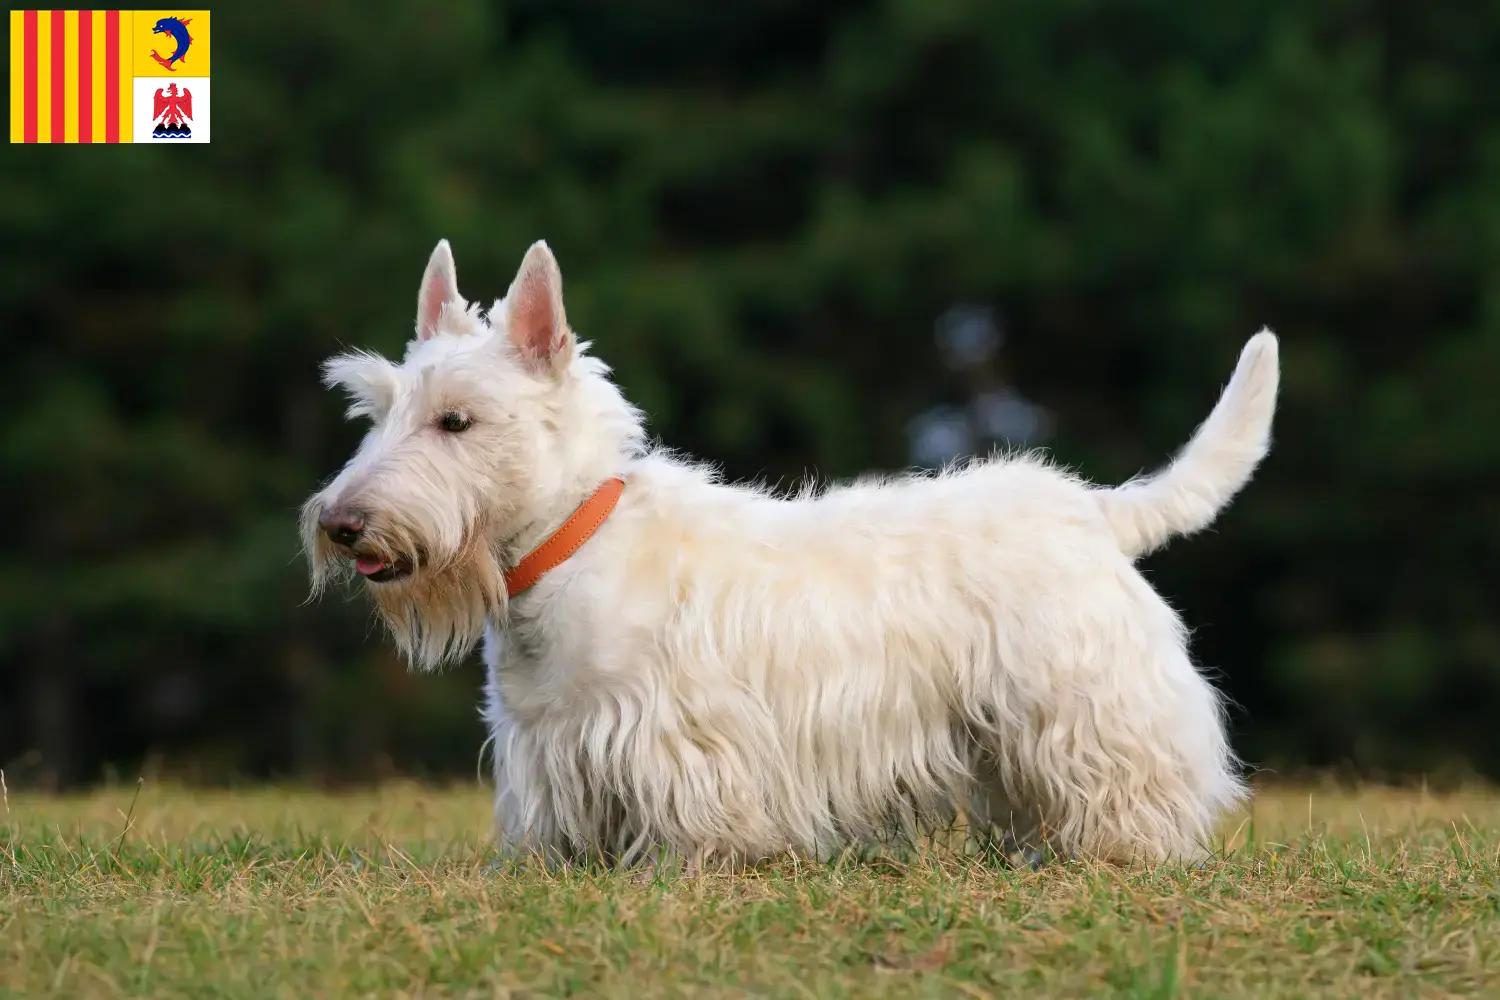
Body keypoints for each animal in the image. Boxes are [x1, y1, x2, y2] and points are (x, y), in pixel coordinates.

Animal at [301, 239, 1278, 869]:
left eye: (457, 420)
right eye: (376, 412)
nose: (342, 524)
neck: (568, 542)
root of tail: (1093, 511)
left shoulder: (677, 739)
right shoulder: (549, 748)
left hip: (1082, 706)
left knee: (1129, 781)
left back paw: (1125, 853)